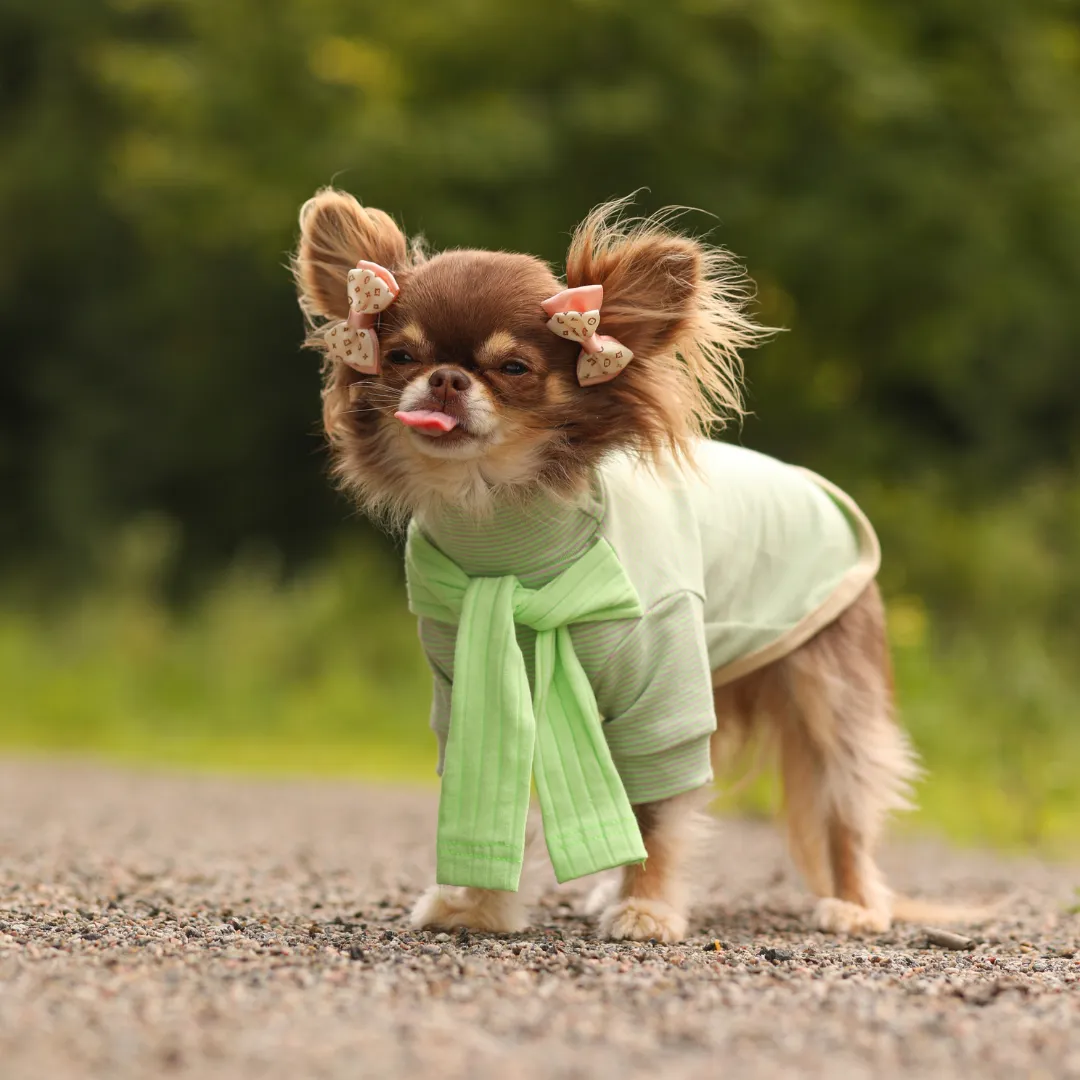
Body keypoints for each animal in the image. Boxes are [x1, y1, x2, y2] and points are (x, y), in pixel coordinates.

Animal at [293, 190, 920, 941]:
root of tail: (823, 490)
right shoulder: (469, 674)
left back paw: (854, 905)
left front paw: (647, 909)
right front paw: (476, 905)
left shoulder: (664, 703)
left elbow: (662, 814)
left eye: (513, 369)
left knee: (842, 805)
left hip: (828, 689)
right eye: (399, 355)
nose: (444, 377)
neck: (505, 540)